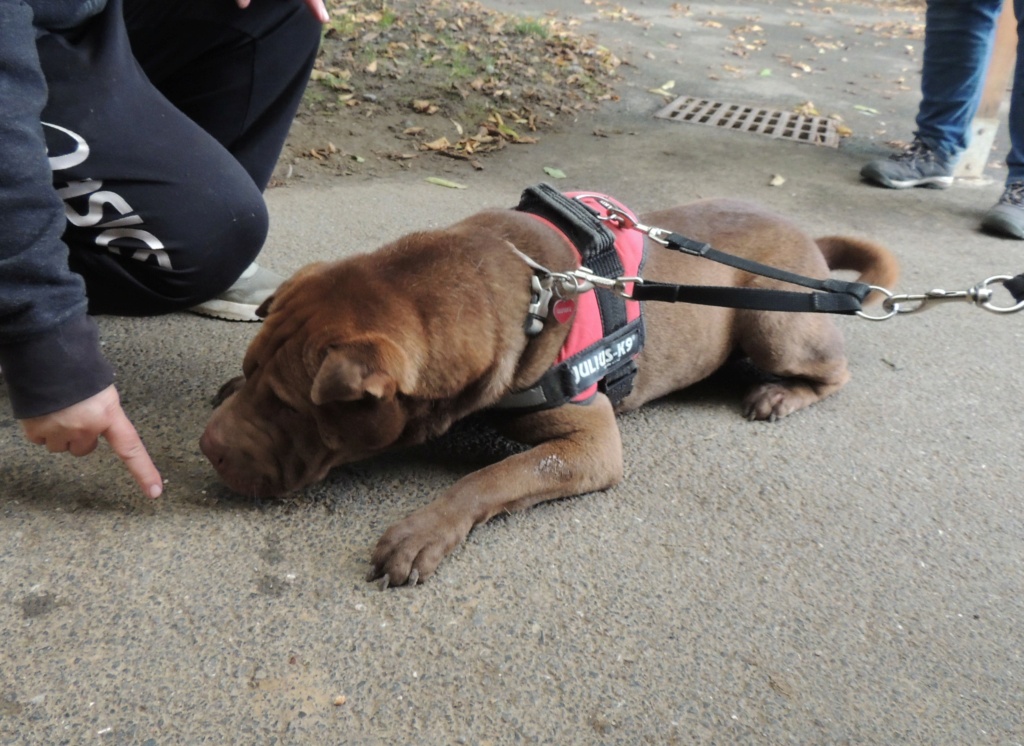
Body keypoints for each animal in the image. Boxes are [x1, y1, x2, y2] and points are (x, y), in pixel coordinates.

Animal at [199, 195, 897, 585]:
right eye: (256, 375)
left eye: (292, 407)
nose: (208, 449)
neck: (519, 287)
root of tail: (809, 237)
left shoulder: (590, 442)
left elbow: (493, 477)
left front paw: (426, 529)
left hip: (772, 324)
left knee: (832, 369)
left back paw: (783, 393)